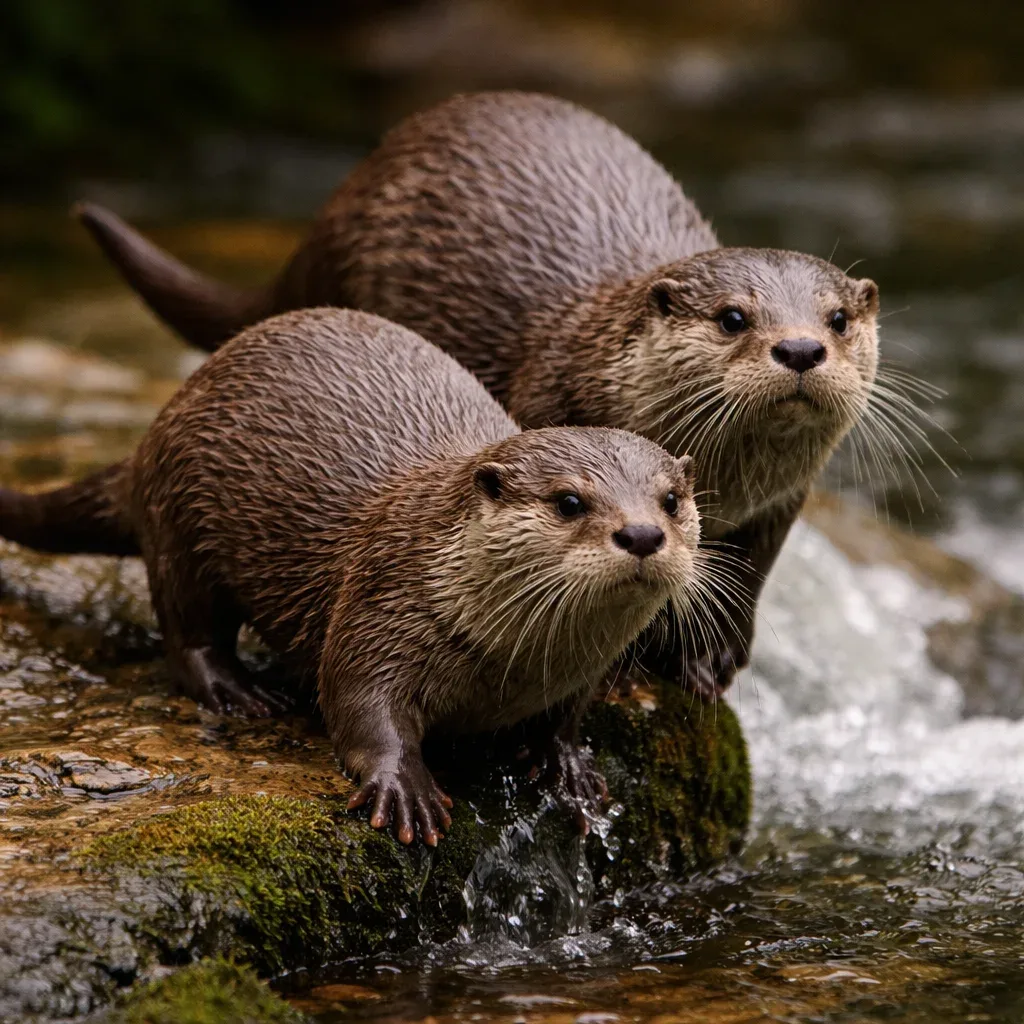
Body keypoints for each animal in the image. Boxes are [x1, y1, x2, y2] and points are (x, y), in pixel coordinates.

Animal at [0, 308, 701, 844]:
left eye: (670, 500)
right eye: (570, 501)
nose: (643, 534)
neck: (515, 667)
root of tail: (158, 426)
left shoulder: (582, 671)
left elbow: (568, 717)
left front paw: (568, 766)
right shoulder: (383, 603)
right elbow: (358, 699)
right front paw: (405, 787)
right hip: (179, 517)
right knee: (186, 625)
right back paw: (238, 691)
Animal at [75, 90, 881, 697]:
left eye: (838, 320)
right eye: (733, 317)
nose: (801, 348)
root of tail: (337, 206)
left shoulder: (779, 503)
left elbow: (747, 579)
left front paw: (709, 657)